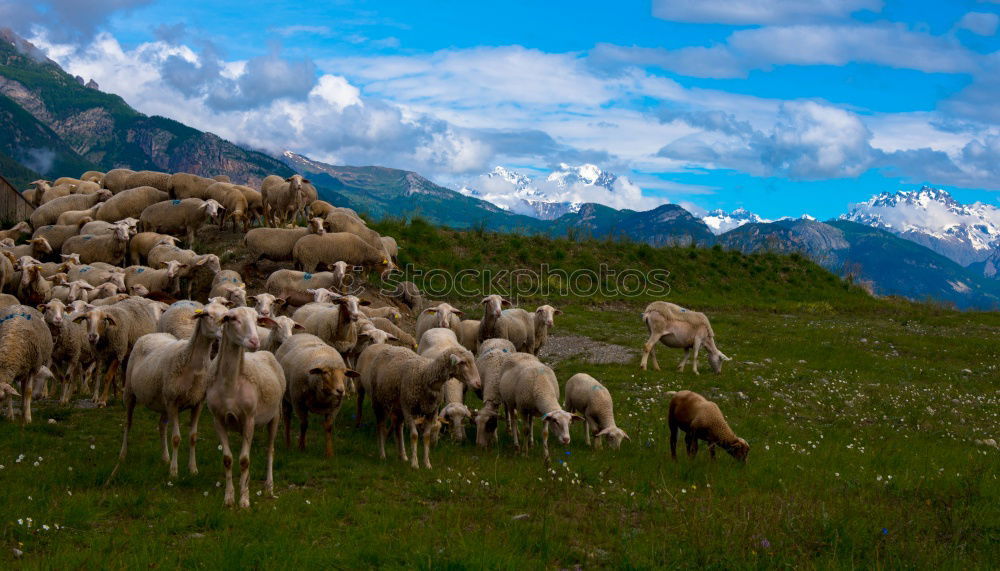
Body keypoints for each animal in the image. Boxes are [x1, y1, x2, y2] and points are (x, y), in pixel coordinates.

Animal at [113, 302, 227, 480]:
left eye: (227, 315)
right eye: (207, 314)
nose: (223, 332)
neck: (191, 364)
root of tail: (153, 334)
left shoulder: (198, 403)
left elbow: (193, 437)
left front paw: (193, 469)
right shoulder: (173, 402)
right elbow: (176, 438)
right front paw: (174, 471)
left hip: (163, 400)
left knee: (161, 426)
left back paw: (165, 457)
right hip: (131, 393)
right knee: (128, 423)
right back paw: (123, 455)